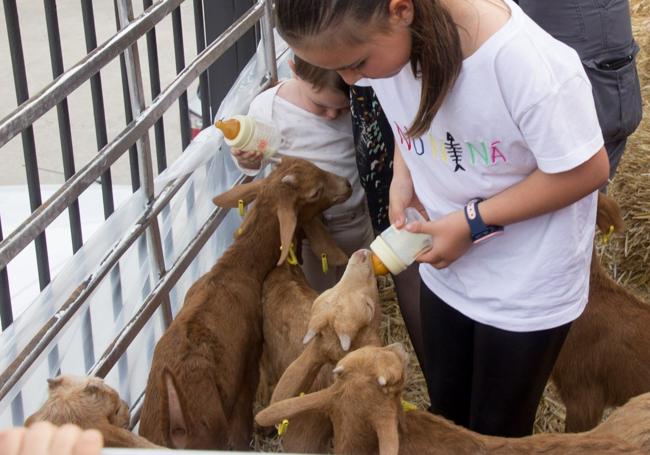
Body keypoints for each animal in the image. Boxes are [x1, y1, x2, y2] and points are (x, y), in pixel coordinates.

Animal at [138, 157, 352, 450]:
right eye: (315, 192)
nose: (348, 184)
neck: (235, 268)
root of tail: (173, 419)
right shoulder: (250, 362)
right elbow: (242, 421)